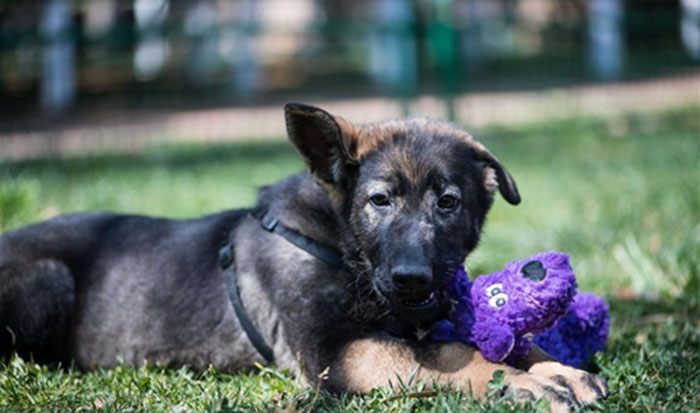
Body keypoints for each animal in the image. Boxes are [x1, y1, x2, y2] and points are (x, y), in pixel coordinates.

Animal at [1, 104, 608, 408]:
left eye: (448, 202)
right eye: (379, 201)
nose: (412, 280)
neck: (341, 245)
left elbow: (499, 340)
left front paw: (559, 370)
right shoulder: (335, 351)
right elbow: (448, 354)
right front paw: (521, 384)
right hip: (49, 279)